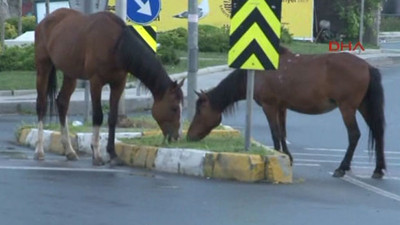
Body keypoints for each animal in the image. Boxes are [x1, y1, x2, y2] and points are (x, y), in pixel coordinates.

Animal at [34, 8, 184, 165]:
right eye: (174, 108)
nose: (178, 136)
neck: (117, 45)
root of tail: (45, 20)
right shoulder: (96, 82)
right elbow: (98, 115)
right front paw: (97, 153)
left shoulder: (118, 84)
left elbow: (112, 118)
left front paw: (112, 153)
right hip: (43, 67)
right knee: (41, 105)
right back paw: (39, 151)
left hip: (70, 74)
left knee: (62, 102)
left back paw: (69, 150)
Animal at [189, 47, 386, 179]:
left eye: (199, 110)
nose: (190, 135)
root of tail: (367, 66)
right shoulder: (282, 107)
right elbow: (283, 133)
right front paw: (287, 157)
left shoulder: (269, 106)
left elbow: (275, 133)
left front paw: (277, 154)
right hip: (363, 106)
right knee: (378, 132)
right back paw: (378, 169)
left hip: (347, 108)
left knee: (354, 134)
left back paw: (342, 168)